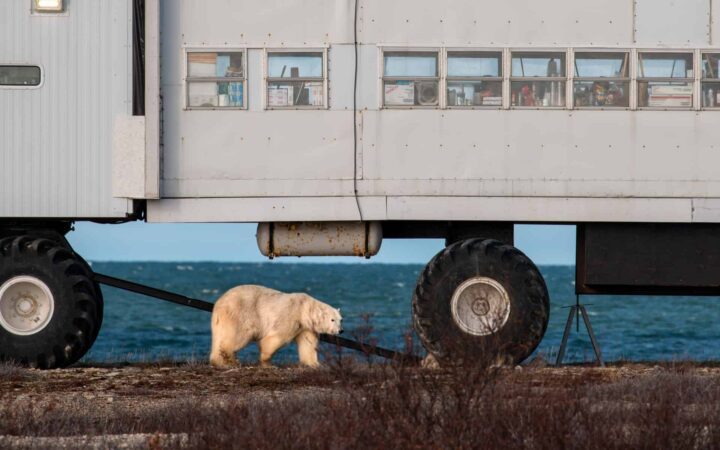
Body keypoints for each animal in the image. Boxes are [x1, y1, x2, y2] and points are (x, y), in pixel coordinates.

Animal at [209, 285, 343, 368]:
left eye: (341, 319)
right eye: (332, 319)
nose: (341, 330)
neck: (304, 309)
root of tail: (219, 304)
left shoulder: (306, 327)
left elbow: (308, 343)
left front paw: (314, 363)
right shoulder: (291, 315)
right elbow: (277, 337)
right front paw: (266, 361)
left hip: (221, 321)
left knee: (219, 337)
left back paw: (219, 361)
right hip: (240, 314)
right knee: (239, 335)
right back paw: (231, 358)